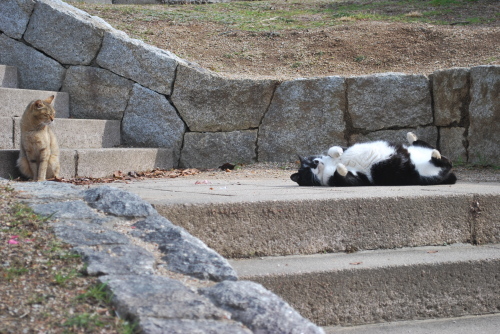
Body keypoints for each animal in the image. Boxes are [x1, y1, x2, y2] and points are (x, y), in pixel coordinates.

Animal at [290, 132, 458, 187]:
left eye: (311, 160)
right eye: (306, 171)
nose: (315, 162)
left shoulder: (345, 147)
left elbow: (335, 149)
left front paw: (337, 153)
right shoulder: (359, 180)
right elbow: (344, 176)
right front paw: (341, 167)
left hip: (422, 148)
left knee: (426, 145)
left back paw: (412, 137)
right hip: (426, 174)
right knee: (445, 163)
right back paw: (436, 156)